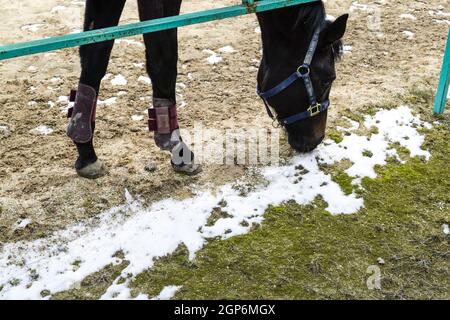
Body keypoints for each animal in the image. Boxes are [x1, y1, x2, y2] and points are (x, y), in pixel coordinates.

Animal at [67, 0, 348, 179]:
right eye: (327, 79)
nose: (315, 140)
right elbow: (163, 58)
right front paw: (175, 146)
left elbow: (95, 53)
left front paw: (85, 149)